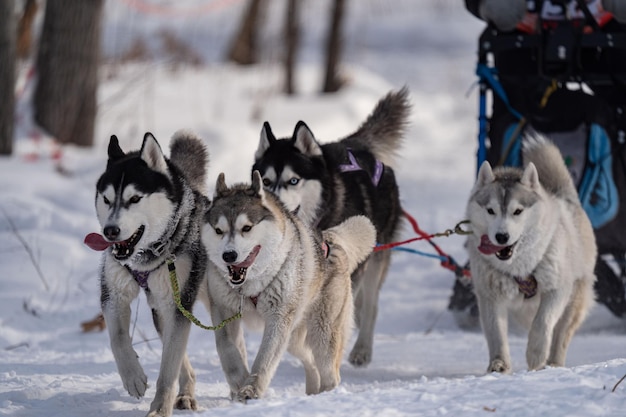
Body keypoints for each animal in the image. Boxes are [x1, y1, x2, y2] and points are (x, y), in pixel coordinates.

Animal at [84, 132, 211, 416]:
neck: (146, 257)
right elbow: (118, 339)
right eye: (106, 199)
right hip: (160, 311)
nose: (110, 231)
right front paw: (133, 377)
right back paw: (186, 393)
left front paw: (160, 409)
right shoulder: (114, 295)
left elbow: (167, 372)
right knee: (184, 363)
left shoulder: (177, 305)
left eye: (134, 199)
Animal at [202, 171, 372, 402]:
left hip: (321, 333)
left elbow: (264, 359)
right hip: (294, 338)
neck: (250, 285)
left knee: (330, 372)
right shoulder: (223, 312)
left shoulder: (278, 318)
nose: (228, 255)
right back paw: (312, 391)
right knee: (310, 360)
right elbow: (227, 351)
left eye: (247, 228)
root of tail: (330, 239)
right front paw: (240, 382)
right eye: (219, 230)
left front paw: (251, 389)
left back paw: (326, 395)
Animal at [251, 87, 408, 364]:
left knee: (371, 305)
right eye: (266, 181)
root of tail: (359, 147)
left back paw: (362, 348)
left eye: (294, 180)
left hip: (376, 255)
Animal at [464, 135, 596, 372]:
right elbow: (496, 333)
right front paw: (499, 364)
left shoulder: (557, 289)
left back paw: (553, 363)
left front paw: (536, 354)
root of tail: (565, 196)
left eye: (518, 211)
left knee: (560, 335)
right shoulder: (489, 296)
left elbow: (542, 322)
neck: (519, 267)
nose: (502, 236)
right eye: (490, 210)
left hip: (575, 299)